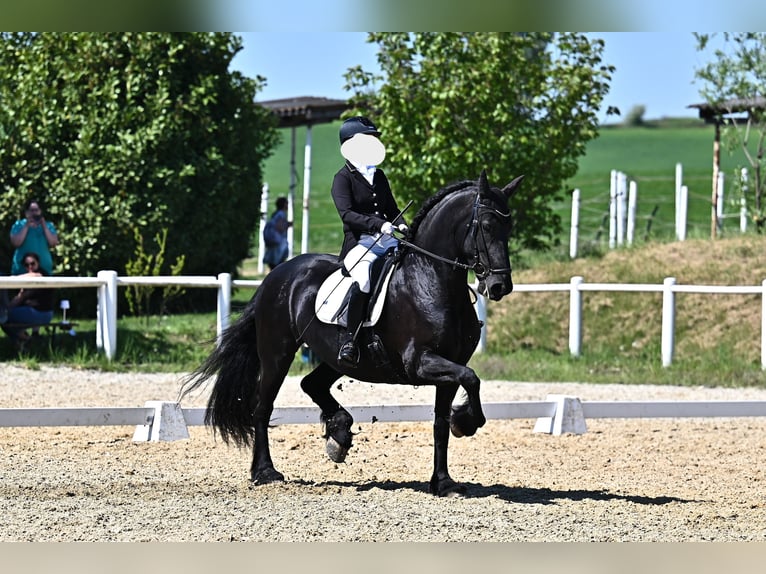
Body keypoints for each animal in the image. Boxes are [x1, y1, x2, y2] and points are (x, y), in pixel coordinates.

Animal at [180, 170, 523, 497]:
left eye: (509, 228)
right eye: (486, 226)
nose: (499, 286)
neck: (431, 279)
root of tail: (276, 276)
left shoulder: (450, 365)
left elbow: (442, 421)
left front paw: (444, 481)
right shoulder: (420, 362)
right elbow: (471, 378)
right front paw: (464, 422)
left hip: (337, 358)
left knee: (311, 384)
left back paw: (339, 435)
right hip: (277, 352)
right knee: (262, 408)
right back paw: (265, 472)